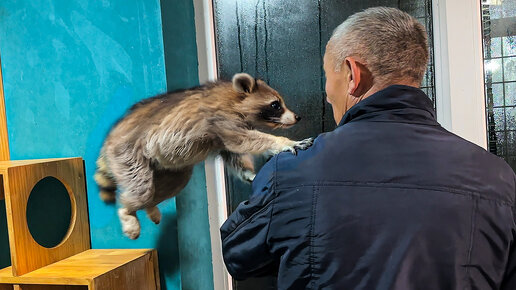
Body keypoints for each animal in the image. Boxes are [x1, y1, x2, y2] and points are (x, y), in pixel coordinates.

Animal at [94, 73, 312, 239]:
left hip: (165, 167)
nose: (297, 117)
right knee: (141, 189)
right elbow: (245, 141)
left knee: (173, 184)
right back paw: (128, 212)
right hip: (128, 155)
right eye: (276, 105)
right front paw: (283, 142)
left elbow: (234, 155)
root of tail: (110, 137)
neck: (234, 97)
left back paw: (150, 206)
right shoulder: (221, 119)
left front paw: (249, 174)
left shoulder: (220, 136)